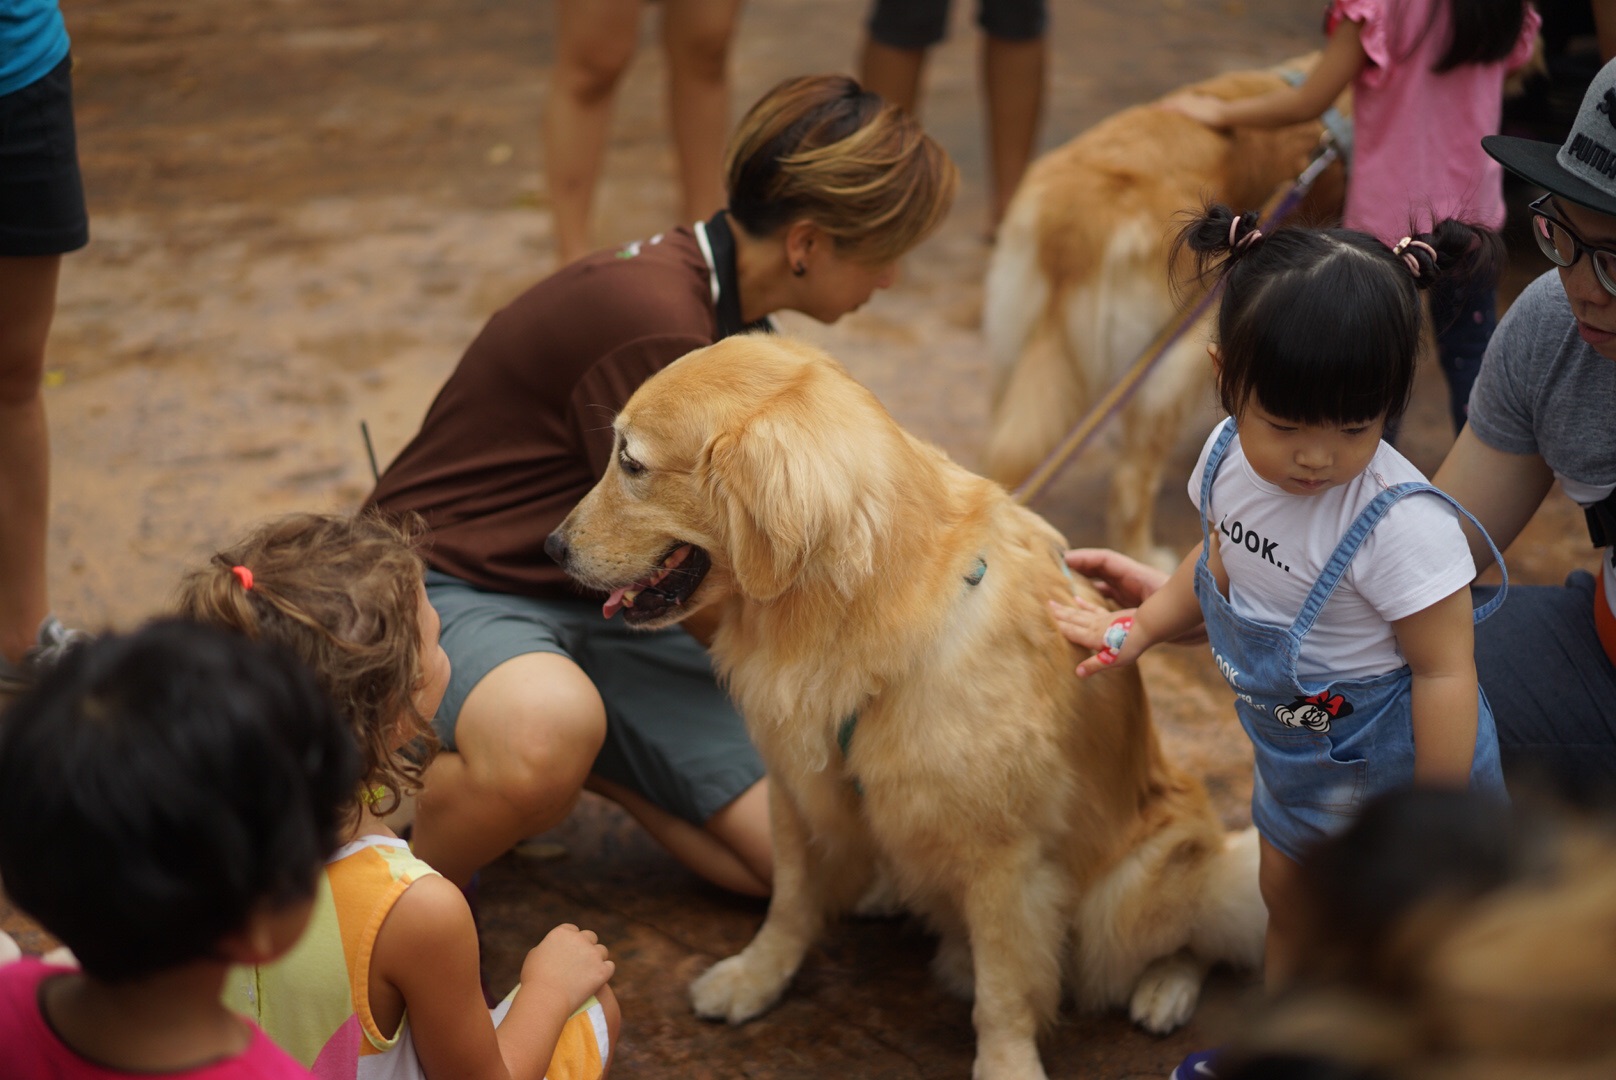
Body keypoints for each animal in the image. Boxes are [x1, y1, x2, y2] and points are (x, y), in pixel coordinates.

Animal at [549, 334, 1266, 1080]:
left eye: (632, 464)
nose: (551, 547)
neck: (854, 617)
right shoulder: (793, 787)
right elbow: (789, 903)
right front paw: (757, 976)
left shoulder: (1003, 858)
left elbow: (1003, 989)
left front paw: (1005, 1065)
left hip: (1129, 895)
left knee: (1203, 931)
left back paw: (1165, 990)